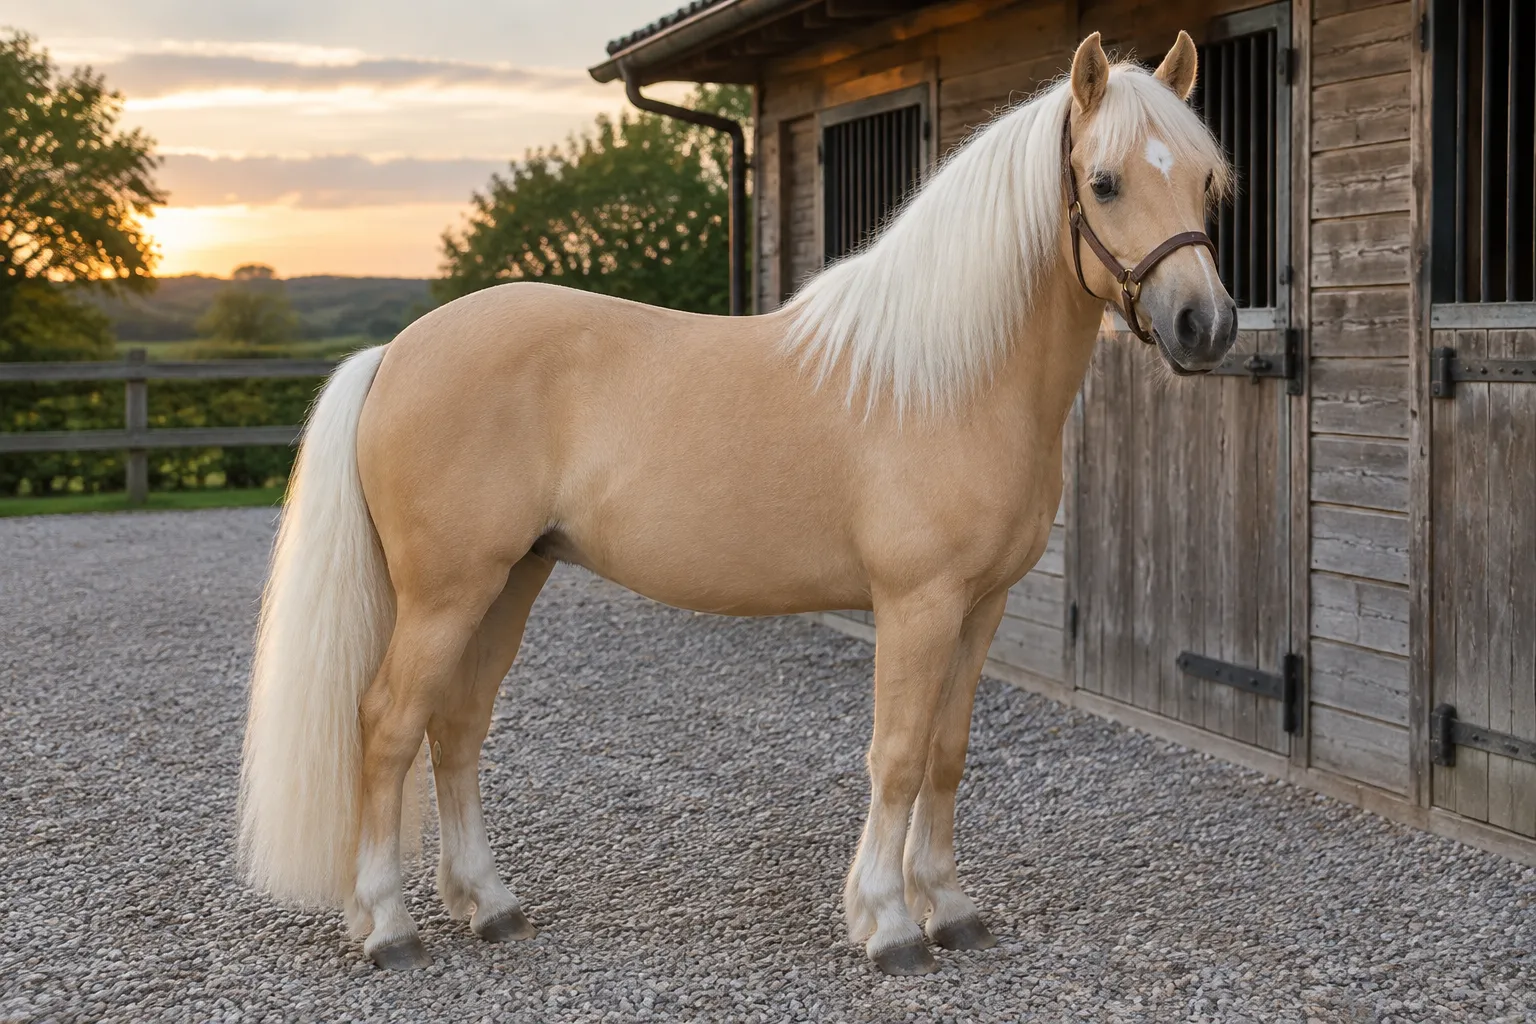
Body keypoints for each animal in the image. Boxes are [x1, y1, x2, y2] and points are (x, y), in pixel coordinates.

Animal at [238, 30, 1235, 976]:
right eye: (1103, 183)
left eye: (1206, 181)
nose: (1206, 326)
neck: (948, 381)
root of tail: (395, 352)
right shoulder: (917, 606)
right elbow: (898, 755)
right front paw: (887, 924)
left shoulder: (980, 607)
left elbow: (947, 754)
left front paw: (949, 909)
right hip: (448, 592)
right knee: (387, 725)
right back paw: (388, 928)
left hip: (510, 580)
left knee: (456, 726)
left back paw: (489, 904)